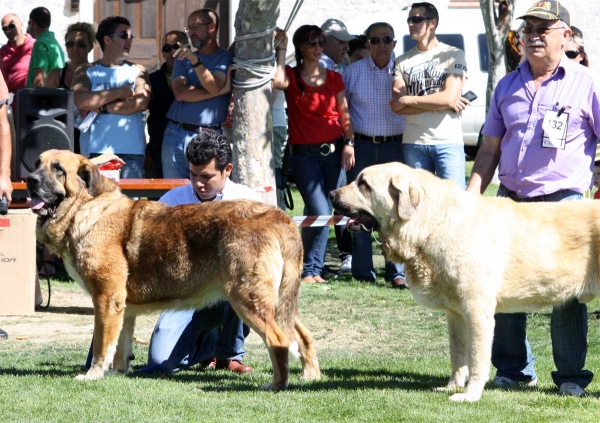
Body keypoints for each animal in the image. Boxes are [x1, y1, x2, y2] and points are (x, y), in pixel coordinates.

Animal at [26, 150, 322, 390]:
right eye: (37, 163)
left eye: (58, 169)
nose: (30, 180)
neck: (85, 208)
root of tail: (279, 217)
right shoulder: (123, 307)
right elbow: (120, 345)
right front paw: (118, 373)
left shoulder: (106, 300)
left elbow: (102, 344)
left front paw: (93, 374)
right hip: (278, 300)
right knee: (303, 336)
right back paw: (310, 376)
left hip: (245, 297)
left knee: (278, 339)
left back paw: (277, 384)